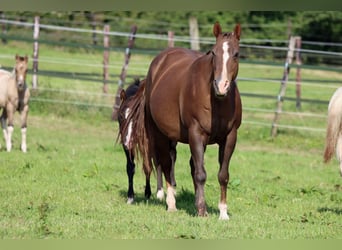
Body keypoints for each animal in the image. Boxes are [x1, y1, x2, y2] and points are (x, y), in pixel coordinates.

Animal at [124, 23, 242, 219]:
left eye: (236, 54)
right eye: (214, 52)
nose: (221, 86)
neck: (216, 100)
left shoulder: (230, 136)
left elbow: (222, 175)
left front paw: (223, 213)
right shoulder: (196, 133)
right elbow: (200, 174)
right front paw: (201, 210)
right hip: (160, 133)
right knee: (166, 164)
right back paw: (171, 203)